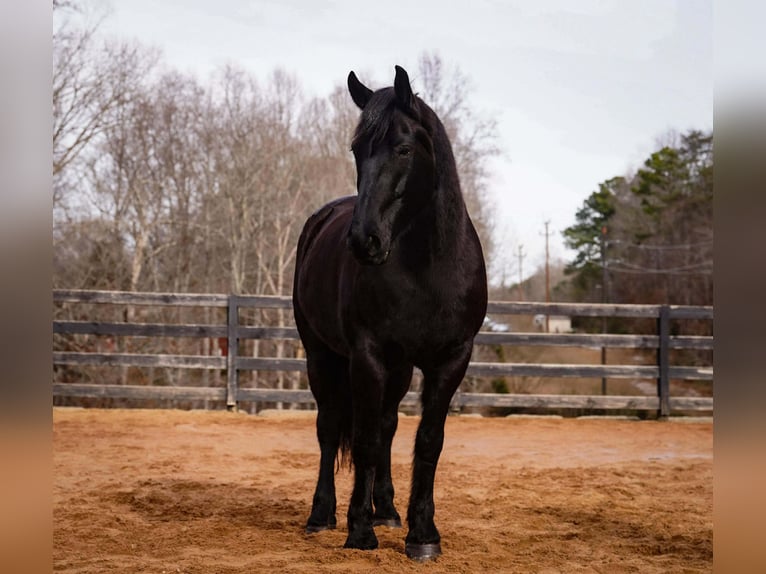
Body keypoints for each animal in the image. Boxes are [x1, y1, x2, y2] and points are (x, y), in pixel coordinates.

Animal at [292, 65, 488, 561]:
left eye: (403, 148)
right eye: (357, 150)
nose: (364, 241)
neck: (428, 267)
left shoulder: (451, 359)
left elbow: (427, 440)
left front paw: (423, 534)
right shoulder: (368, 356)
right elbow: (360, 439)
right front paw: (359, 531)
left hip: (398, 369)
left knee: (387, 427)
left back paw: (387, 510)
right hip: (321, 355)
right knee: (329, 429)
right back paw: (322, 515)